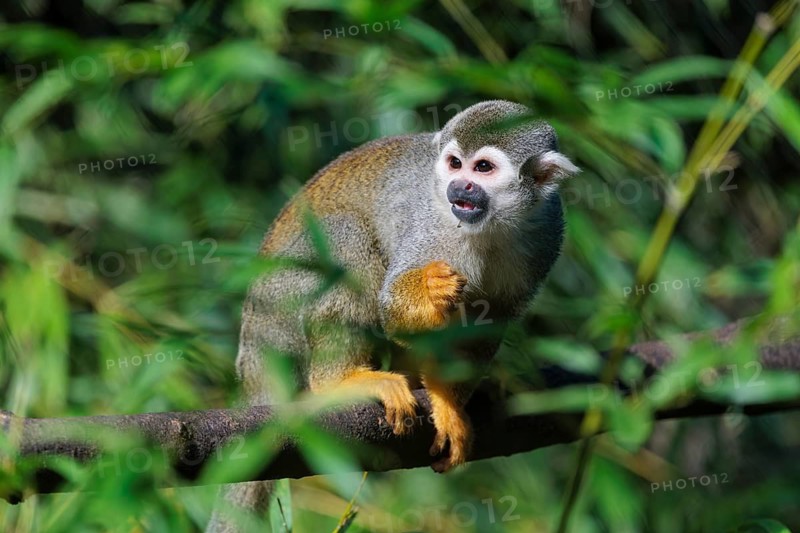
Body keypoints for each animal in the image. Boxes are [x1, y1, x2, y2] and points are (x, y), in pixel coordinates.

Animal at [207, 100, 578, 532]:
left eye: (483, 168)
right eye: (455, 164)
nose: (460, 187)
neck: (492, 226)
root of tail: (252, 337)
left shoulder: (547, 231)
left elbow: (487, 324)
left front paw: (448, 403)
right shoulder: (432, 225)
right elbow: (393, 308)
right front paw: (430, 290)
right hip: (282, 300)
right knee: (345, 237)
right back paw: (340, 381)